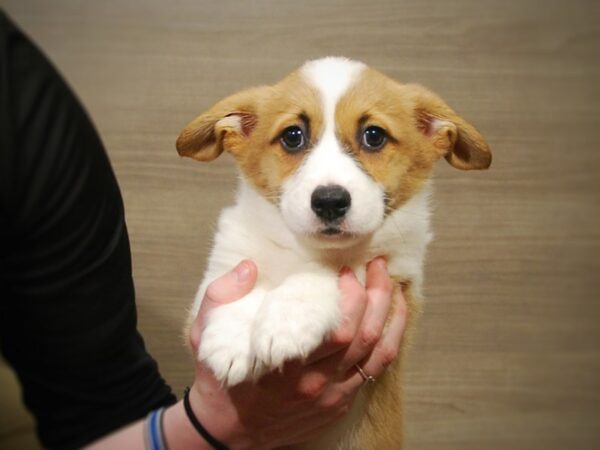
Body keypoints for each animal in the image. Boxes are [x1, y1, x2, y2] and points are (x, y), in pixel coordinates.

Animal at [175, 57, 492, 450]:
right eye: (292, 136)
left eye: (374, 135)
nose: (329, 202)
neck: (304, 249)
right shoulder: (221, 272)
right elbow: (239, 284)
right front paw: (230, 340)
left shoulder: (394, 282)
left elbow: (328, 273)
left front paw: (285, 321)